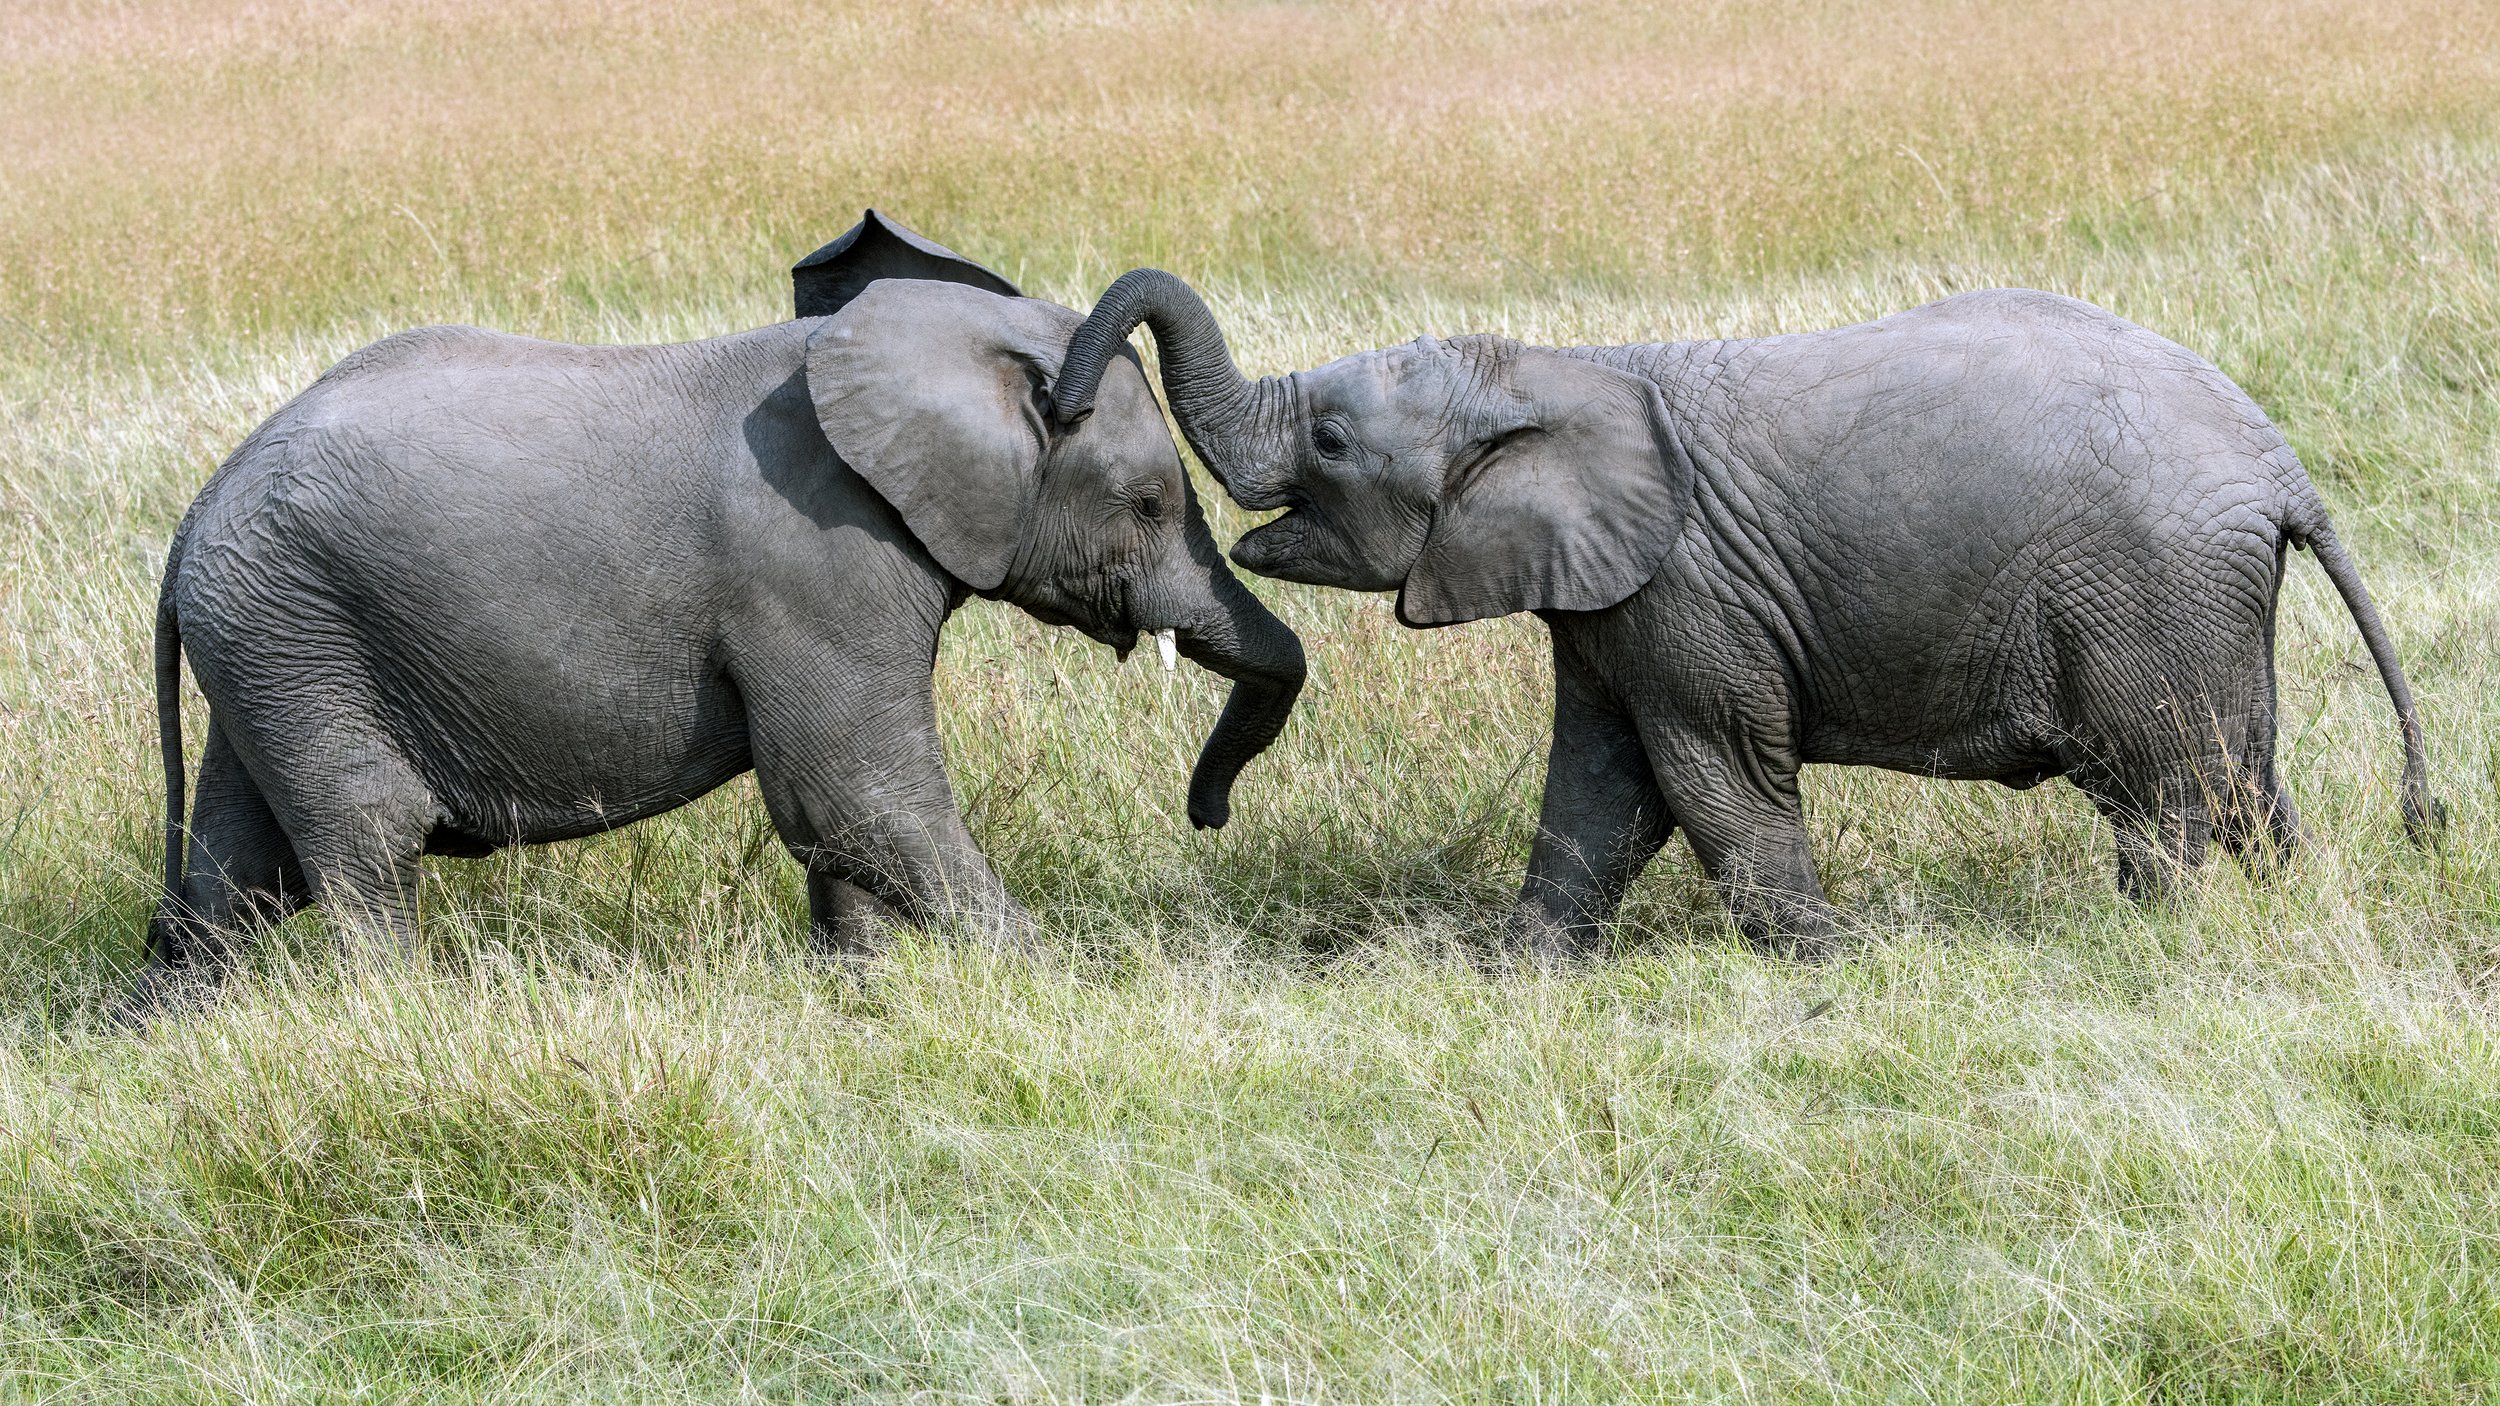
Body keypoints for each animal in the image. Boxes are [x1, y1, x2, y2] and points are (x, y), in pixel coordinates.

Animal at [140, 215, 1304, 1003]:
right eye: (1145, 503)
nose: (1209, 816)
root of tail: (198, 513)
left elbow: (836, 816)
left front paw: (863, 1000)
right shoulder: (815, 561)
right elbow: (854, 788)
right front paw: (1055, 989)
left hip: (272, 640)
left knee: (236, 873)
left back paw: (165, 1040)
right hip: (297, 627)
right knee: (365, 841)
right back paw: (397, 1022)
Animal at [1048, 269, 2437, 957]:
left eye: (1331, 441)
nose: (1061, 399)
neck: (1558, 371)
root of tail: (2280, 467)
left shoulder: (1686, 590)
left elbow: (1713, 780)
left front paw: (1838, 968)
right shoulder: (1611, 601)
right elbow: (1598, 792)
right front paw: (1514, 972)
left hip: (2147, 591)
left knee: (2161, 793)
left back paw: (2148, 940)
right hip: (2204, 602)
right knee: (2242, 775)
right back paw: (2277, 911)